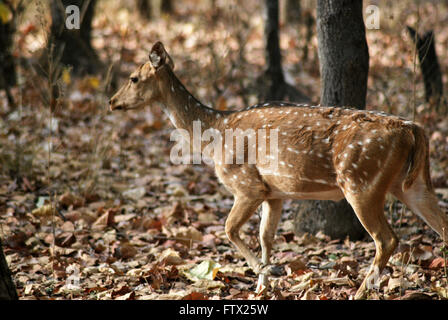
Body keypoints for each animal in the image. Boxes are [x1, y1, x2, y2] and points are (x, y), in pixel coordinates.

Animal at [109, 41, 448, 298]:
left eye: (133, 77)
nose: (111, 102)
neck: (214, 133)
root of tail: (412, 129)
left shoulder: (246, 184)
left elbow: (229, 228)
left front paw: (263, 272)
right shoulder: (275, 193)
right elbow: (265, 237)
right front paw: (262, 286)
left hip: (362, 182)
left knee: (386, 239)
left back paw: (360, 292)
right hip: (413, 183)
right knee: (441, 225)